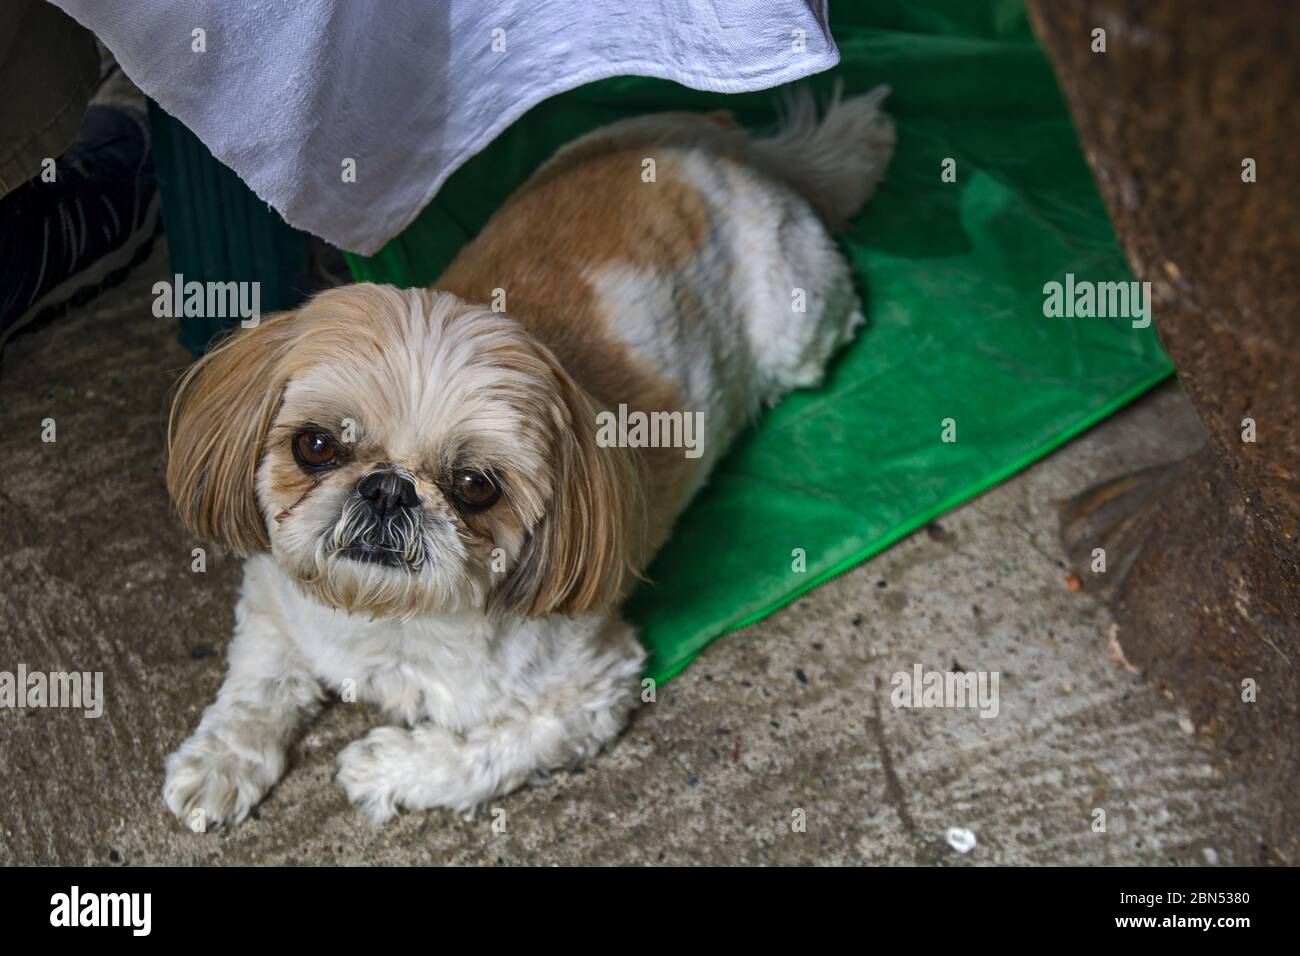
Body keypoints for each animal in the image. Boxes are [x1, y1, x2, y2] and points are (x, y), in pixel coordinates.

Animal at [162, 85, 894, 827]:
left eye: (474, 485)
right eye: (314, 445)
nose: (389, 488)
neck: (392, 620)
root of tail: (721, 141)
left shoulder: (588, 691)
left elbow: (484, 751)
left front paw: (391, 766)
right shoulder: (273, 598)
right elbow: (258, 682)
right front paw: (223, 761)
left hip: (799, 325)